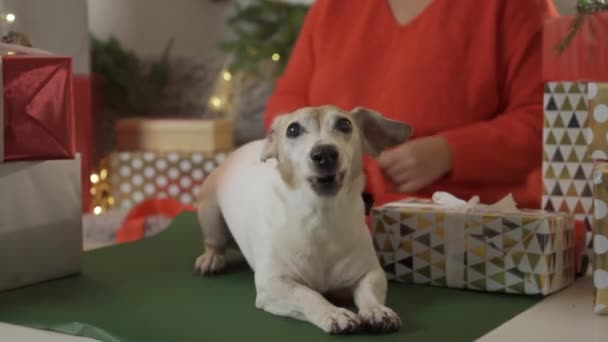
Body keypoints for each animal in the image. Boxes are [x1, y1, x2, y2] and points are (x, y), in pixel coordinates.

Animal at [195, 105, 414, 334]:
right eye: (293, 130)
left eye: (345, 124)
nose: (325, 153)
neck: (321, 217)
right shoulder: (273, 284)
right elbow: (307, 294)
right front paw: (334, 313)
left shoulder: (370, 273)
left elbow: (369, 291)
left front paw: (376, 310)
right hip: (210, 214)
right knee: (214, 242)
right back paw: (211, 258)